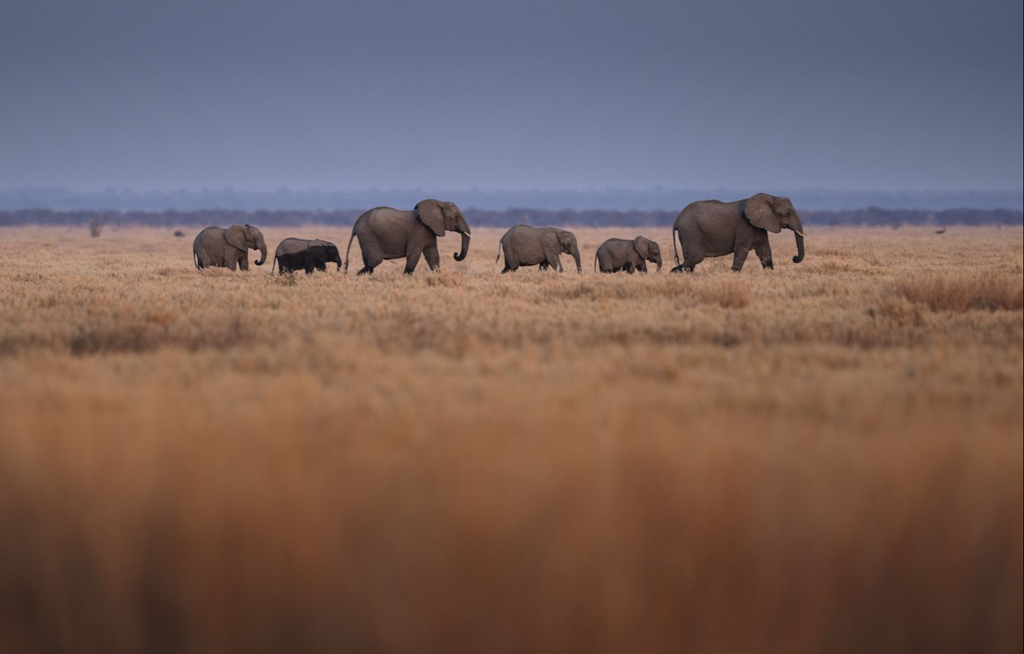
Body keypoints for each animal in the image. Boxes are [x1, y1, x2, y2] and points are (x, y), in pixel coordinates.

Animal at [671, 195, 806, 274]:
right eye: (788, 213)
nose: (794, 257)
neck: (771, 197)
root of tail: (676, 220)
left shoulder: (759, 226)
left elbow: (765, 252)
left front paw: (769, 273)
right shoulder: (745, 226)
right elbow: (741, 250)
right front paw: (734, 275)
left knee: (690, 259)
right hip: (690, 232)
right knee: (696, 257)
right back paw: (673, 272)